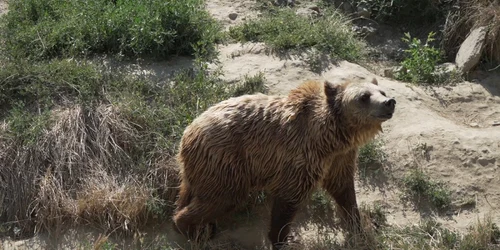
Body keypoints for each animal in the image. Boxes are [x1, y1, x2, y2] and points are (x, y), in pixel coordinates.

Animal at [172, 77, 394, 248]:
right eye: (364, 97)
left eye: (381, 91)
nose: (389, 101)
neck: (332, 137)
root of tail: (187, 132)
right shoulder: (300, 156)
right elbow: (288, 200)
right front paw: (281, 240)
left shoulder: (340, 158)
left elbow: (344, 190)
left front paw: (359, 227)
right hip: (224, 161)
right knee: (224, 198)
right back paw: (191, 230)